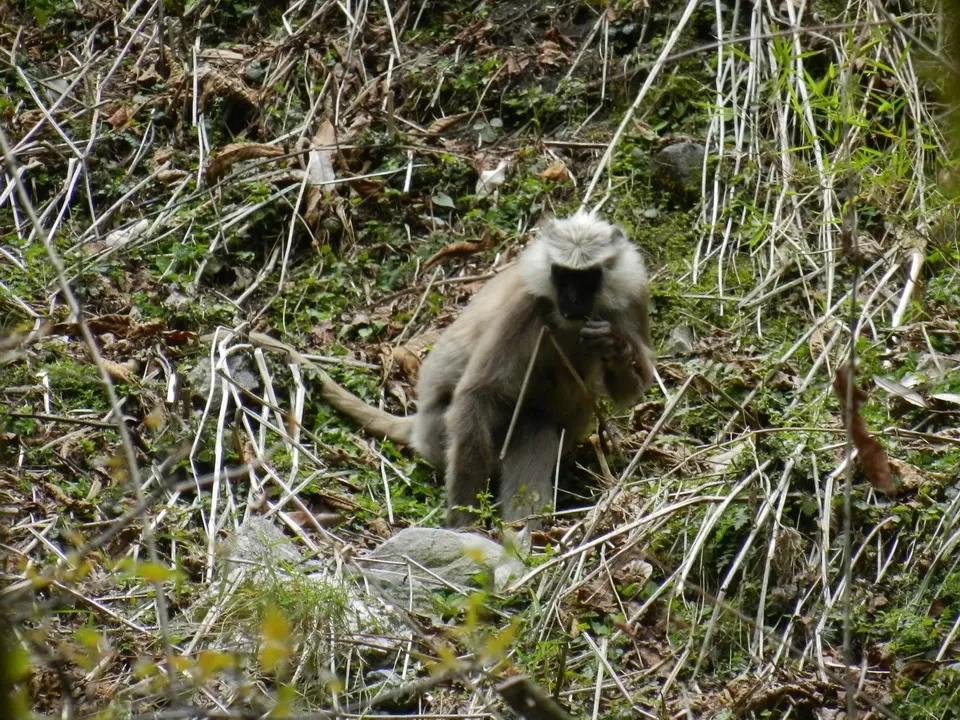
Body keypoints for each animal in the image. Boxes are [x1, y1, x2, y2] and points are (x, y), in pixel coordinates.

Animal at [252, 211, 655, 528]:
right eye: (562, 275)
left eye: (586, 278)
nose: (572, 300)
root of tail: (418, 426)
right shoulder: (525, 305)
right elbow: (477, 394)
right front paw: (463, 521)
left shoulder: (633, 295)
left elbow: (634, 389)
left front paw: (615, 348)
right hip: (441, 435)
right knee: (527, 425)